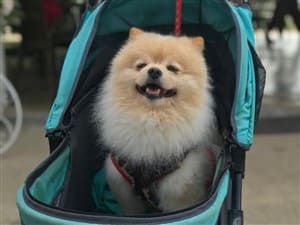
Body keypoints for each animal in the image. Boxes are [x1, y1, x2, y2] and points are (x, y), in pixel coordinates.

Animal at [94, 28, 218, 214]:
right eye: (141, 65)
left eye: (172, 68)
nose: (154, 71)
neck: (151, 117)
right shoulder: (125, 191)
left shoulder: (179, 190)